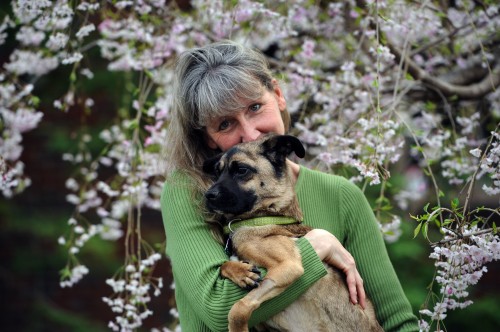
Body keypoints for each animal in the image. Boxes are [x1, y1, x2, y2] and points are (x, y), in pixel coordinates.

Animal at [203, 134, 382, 332]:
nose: (208, 195)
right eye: (217, 173)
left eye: (242, 170)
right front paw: (242, 272)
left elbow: (238, 308)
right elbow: (224, 265)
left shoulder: (288, 266)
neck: (264, 217)